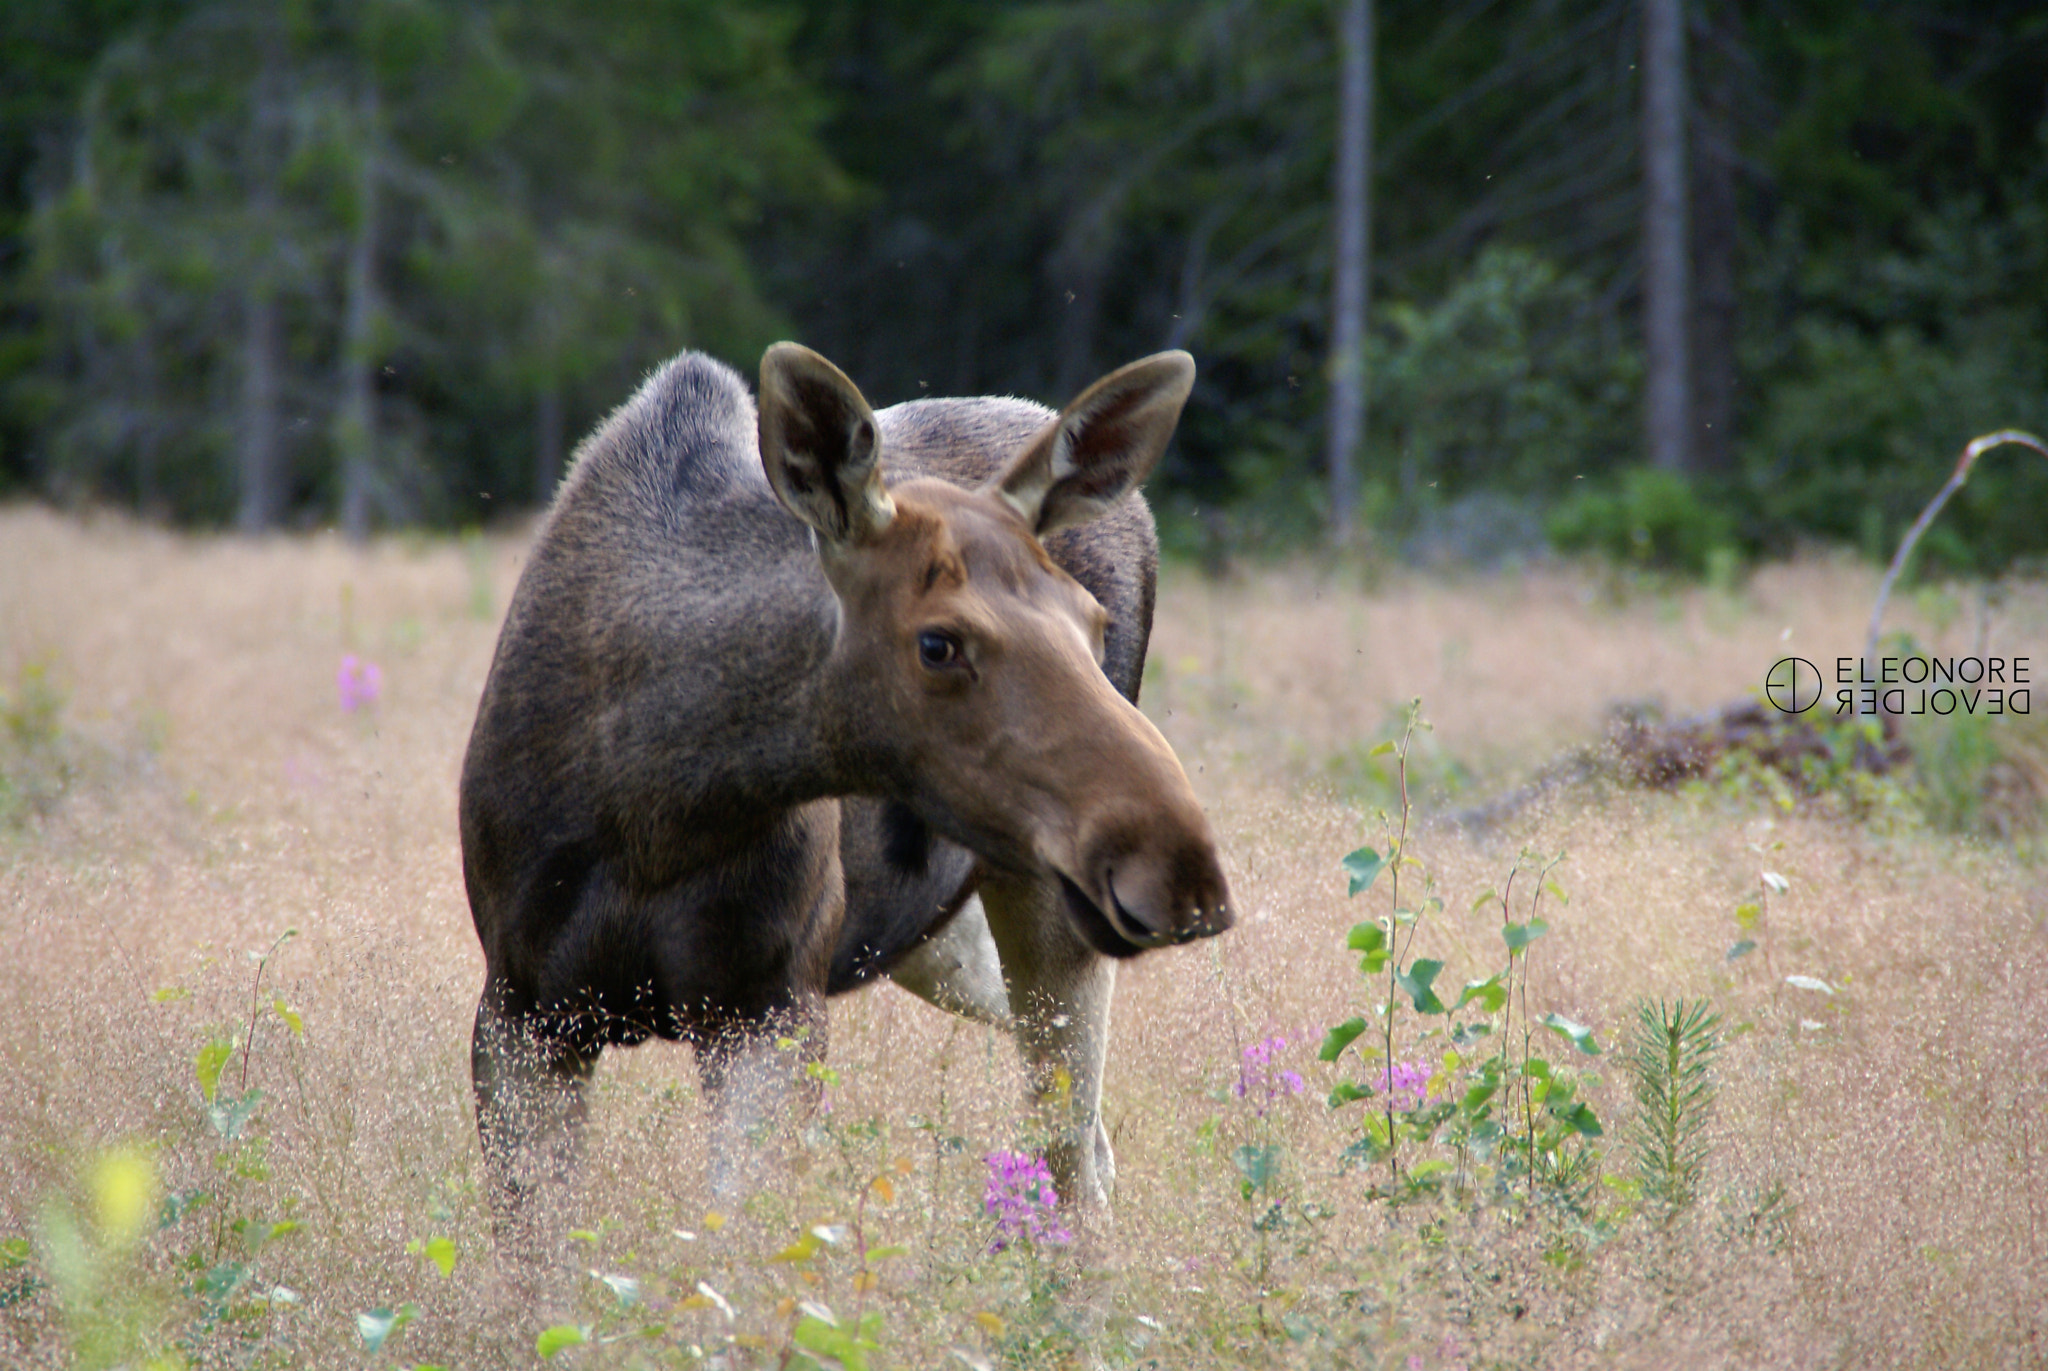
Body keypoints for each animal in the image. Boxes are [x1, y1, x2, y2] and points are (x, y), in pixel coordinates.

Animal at [458, 342, 1231, 1253]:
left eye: (1093, 623)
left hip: (1041, 902)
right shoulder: (519, 1011)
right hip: (937, 933)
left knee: (1071, 1144)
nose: (1182, 865)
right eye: (938, 642)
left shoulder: (771, 1005)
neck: (659, 807)